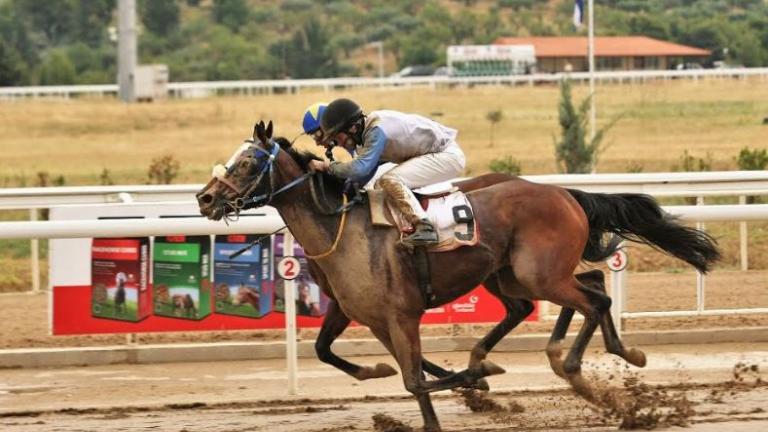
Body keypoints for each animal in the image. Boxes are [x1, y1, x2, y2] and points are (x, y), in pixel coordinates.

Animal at [198, 121, 720, 432]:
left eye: (247, 162)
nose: (205, 199)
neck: (342, 230)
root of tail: (562, 193)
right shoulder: (365, 314)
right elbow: (335, 353)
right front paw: (391, 373)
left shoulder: (400, 315)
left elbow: (414, 380)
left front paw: (478, 379)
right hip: (514, 274)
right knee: (579, 288)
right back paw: (582, 358)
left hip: (538, 273)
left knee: (594, 300)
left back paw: (582, 364)